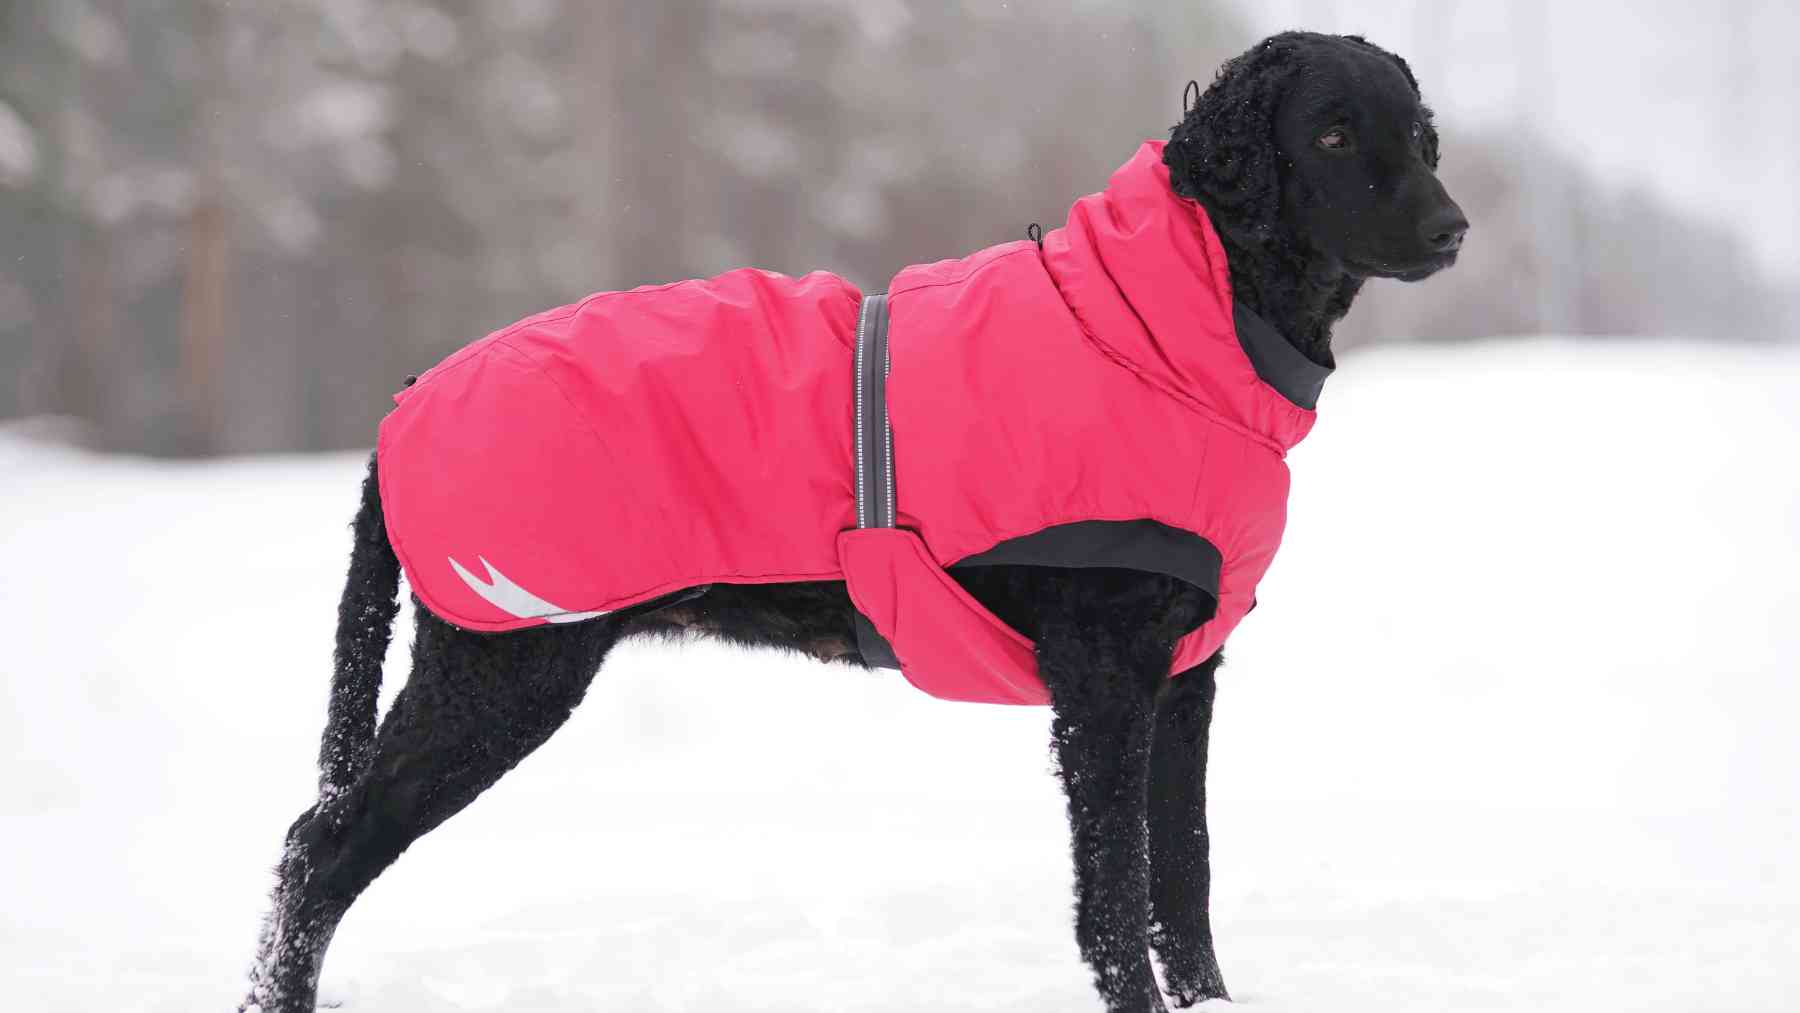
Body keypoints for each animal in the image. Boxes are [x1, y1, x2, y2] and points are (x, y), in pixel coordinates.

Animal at [243, 31, 1461, 1013]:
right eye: (1333, 133)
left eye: (1418, 135)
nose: (1453, 228)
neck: (1167, 321)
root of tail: (403, 405)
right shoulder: (1105, 680)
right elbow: (1116, 900)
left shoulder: (1183, 678)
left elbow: (1184, 880)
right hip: (501, 673)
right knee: (315, 850)